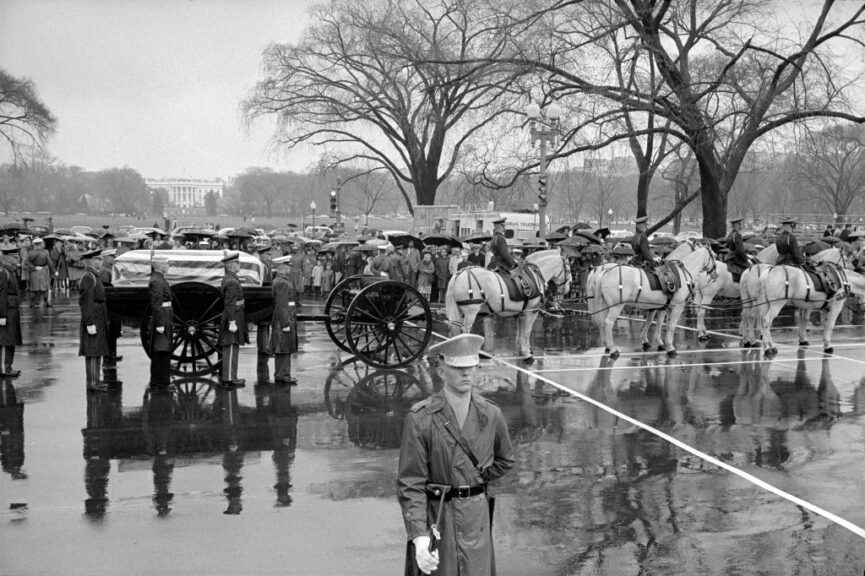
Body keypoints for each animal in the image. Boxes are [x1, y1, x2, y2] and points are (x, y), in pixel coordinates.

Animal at [588, 241, 716, 358]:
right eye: (714, 256)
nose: (716, 274)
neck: (682, 273)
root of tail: (604, 272)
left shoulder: (663, 307)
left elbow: (658, 323)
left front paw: (658, 343)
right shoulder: (676, 307)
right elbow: (670, 326)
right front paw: (669, 347)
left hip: (605, 305)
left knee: (602, 322)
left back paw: (608, 346)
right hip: (616, 306)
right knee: (608, 323)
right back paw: (613, 350)